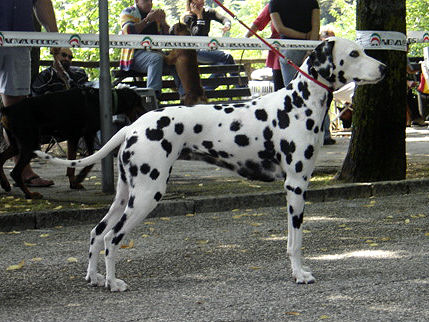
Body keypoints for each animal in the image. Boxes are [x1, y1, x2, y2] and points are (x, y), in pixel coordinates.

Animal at [0, 86, 145, 199]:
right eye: (139, 102)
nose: (147, 112)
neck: (104, 101)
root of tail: (8, 110)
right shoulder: (87, 134)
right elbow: (90, 160)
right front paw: (80, 177)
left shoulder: (73, 137)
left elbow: (71, 164)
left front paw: (74, 183)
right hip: (31, 143)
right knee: (15, 172)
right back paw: (30, 194)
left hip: (17, 144)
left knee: (1, 160)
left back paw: (5, 185)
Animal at [35, 37, 386, 292]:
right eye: (354, 53)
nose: (383, 67)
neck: (298, 104)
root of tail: (133, 126)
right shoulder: (296, 186)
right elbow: (295, 241)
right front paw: (299, 274)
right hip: (147, 195)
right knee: (111, 237)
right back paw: (112, 282)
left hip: (126, 194)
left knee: (97, 233)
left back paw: (94, 277)